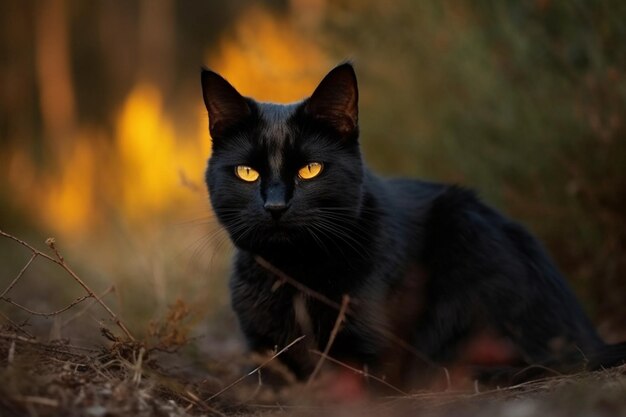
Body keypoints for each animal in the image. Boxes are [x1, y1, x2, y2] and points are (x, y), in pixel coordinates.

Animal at [201, 63, 624, 388]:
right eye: (246, 172)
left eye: (310, 169)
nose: (275, 205)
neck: (293, 275)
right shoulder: (263, 350)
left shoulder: (368, 353)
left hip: (467, 236)